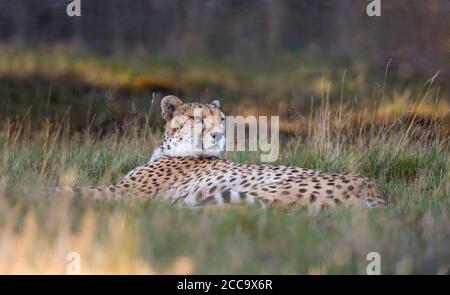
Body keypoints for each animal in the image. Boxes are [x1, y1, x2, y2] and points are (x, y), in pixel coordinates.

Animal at [62, 95, 386, 210]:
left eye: (221, 119)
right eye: (197, 118)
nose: (218, 134)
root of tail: (374, 187)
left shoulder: (126, 192)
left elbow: (79, 190)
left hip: (266, 192)